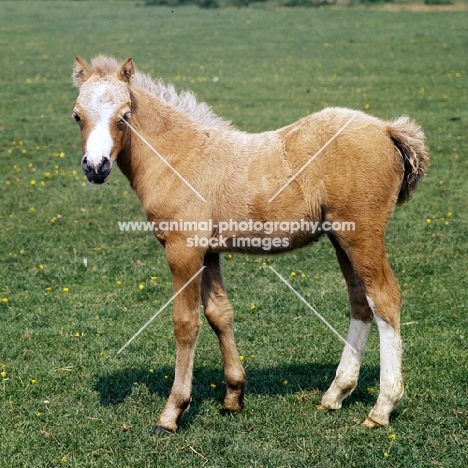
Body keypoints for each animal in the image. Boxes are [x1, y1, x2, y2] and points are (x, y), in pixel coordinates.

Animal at [72, 56, 428, 434]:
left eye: (124, 115)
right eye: (77, 115)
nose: (96, 167)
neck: (179, 157)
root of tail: (387, 129)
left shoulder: (183, 249)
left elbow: (186, 323)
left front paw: (172, 412)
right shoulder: (208, 251)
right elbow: (219, 314)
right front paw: (233, 396)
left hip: (363, 236)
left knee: (385, 300)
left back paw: (382, 408)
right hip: (341, 238)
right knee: (360, 302)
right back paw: (335, 394)